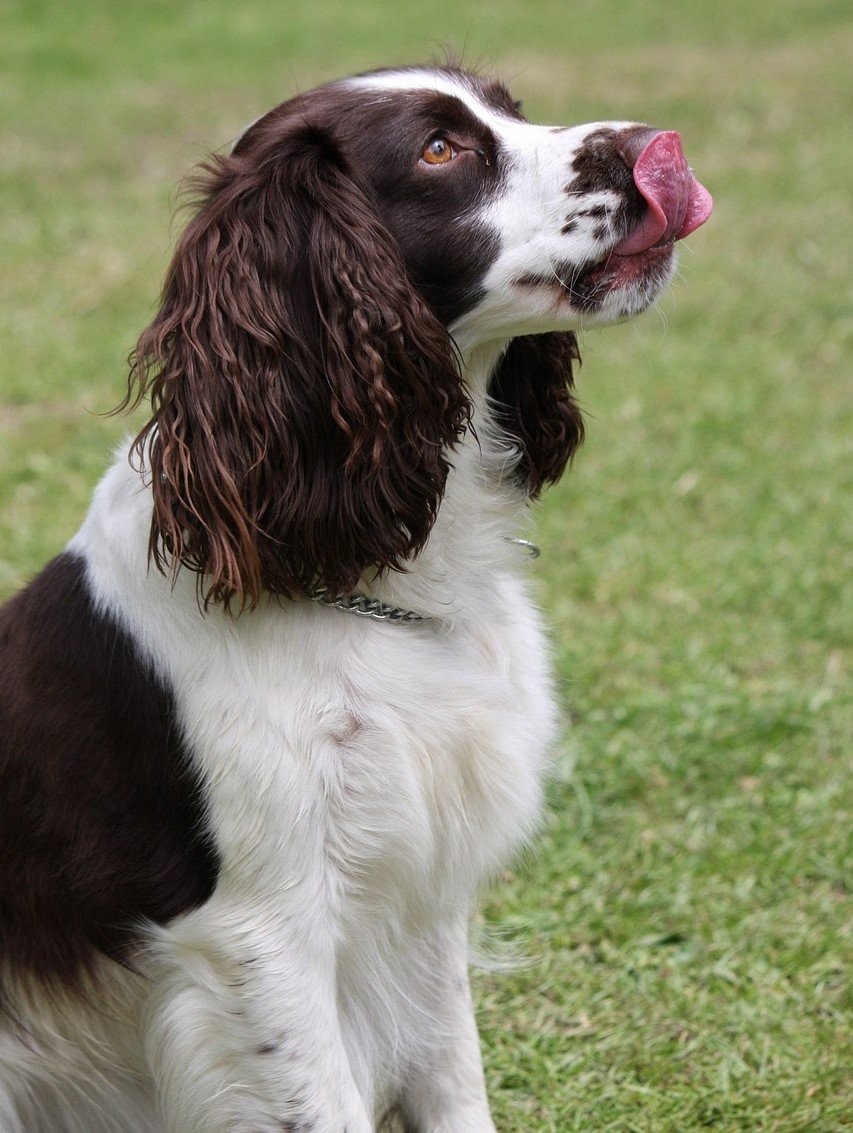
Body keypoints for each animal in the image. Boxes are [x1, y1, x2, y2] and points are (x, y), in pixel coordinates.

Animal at [0, 64, 706, 1133]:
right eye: (440, 150)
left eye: (509, 107)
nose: (654, 146)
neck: (334, 566)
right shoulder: (259, 934)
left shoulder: (420, 890)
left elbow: (453, 1084)